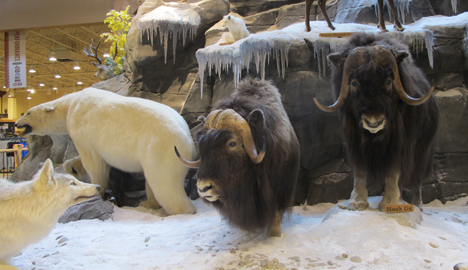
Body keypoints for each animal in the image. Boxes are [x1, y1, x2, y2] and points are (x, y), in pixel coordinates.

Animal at [16, 88, 196, 215]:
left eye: (28, 112)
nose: (17, 124)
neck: (72, 103)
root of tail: (189, 141)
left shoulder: (81, 131)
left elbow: (94, 163)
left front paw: (97, 191)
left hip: (161, 149)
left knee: (164, 182)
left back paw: (183, 210)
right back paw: (147, 203)